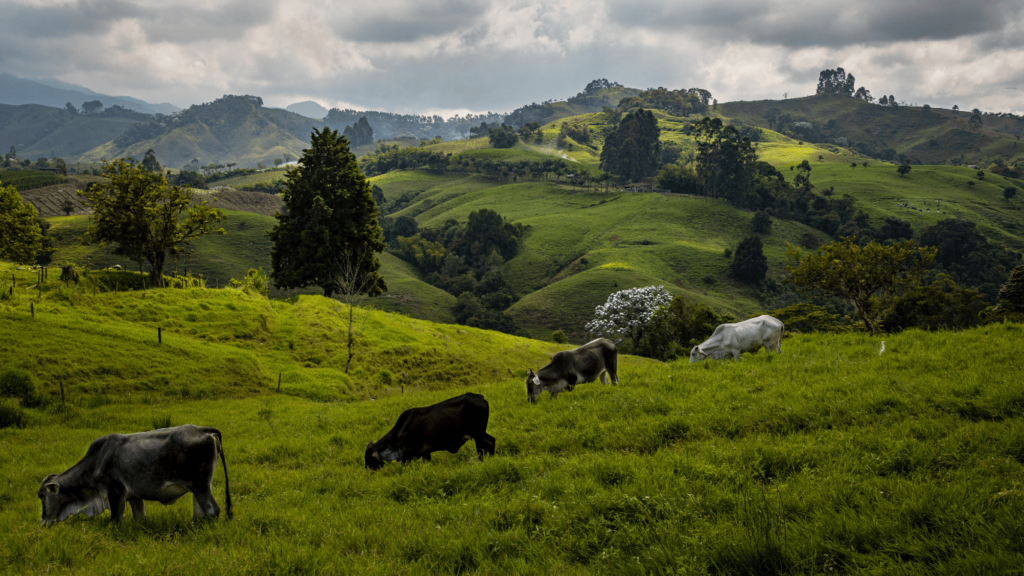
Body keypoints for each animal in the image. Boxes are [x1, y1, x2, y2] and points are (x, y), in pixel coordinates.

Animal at [38, 422, 232, 524]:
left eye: (42, 496)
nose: (43, 521)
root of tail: (204, 429)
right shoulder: (134, 496)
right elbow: (140, 517)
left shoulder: (115, 492)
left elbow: (116, 519)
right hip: (198, 490)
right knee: (200, 512)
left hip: (201, 486)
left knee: (213, 510)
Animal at [366, 389, 497, 471]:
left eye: (369, 457)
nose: (368, 470)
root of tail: (479, 396)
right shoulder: (424, 454)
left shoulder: (407, 456)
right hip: (480, 433)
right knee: (491, 440)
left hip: (478, 434)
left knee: (482, 449)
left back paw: (481, 461)